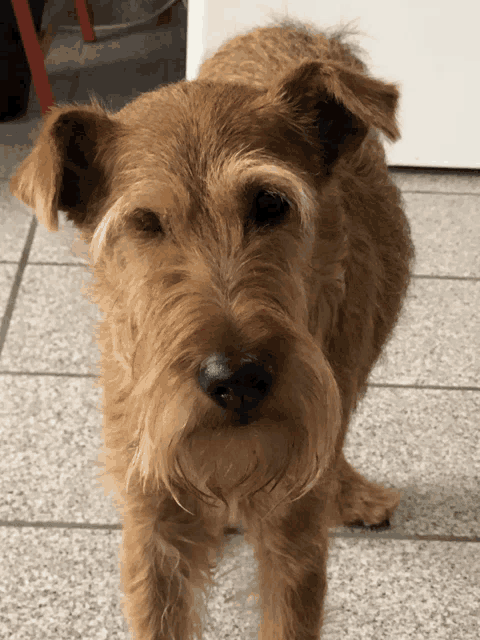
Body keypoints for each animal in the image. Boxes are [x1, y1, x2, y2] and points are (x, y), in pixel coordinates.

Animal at [12, 18, 416, 640]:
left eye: (270, 203)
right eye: (145, 223)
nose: (238, 380)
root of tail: (291, 27)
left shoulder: (293, 536)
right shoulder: (151, 524)